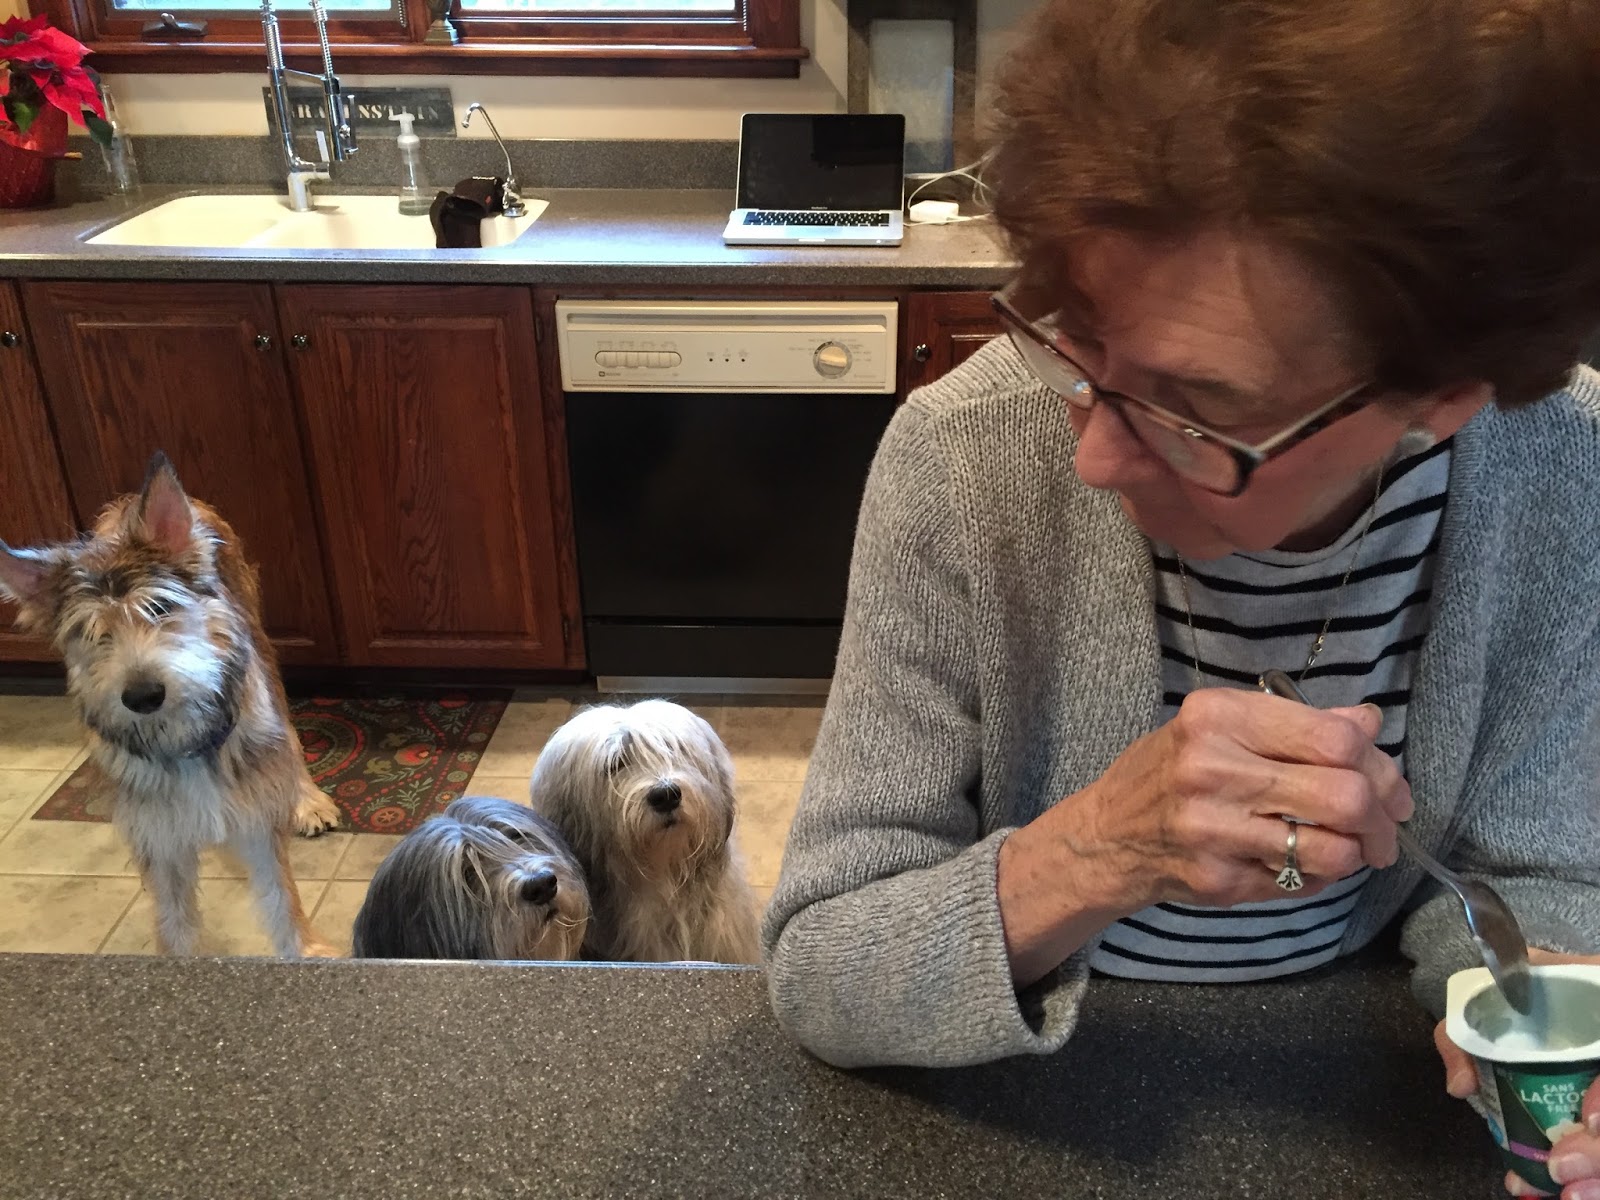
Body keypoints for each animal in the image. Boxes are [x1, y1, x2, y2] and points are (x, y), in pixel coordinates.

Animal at [0, 453, 340, 957]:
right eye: (91, 633)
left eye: (160, 608)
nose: (143, 695)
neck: (181, 738)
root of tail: (127, 500)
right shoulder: (156, 832)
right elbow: (173, 913)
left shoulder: (256, 810)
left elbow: (281, 894)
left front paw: (308, 951)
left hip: (261, 647)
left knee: (289, 734)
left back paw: (307, 799)